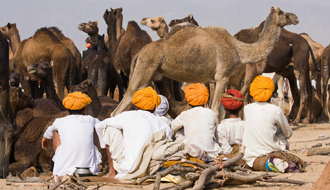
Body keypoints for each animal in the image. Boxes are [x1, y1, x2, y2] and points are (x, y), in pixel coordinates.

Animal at [111, 7, 300, 119]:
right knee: (119, 107)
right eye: (284, 13)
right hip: (144, 70)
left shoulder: (217, 80)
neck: (239, 49)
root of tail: (139, 53)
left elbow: (221, 111)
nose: (296, 17)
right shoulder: (222, 76)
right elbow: (216, 111)